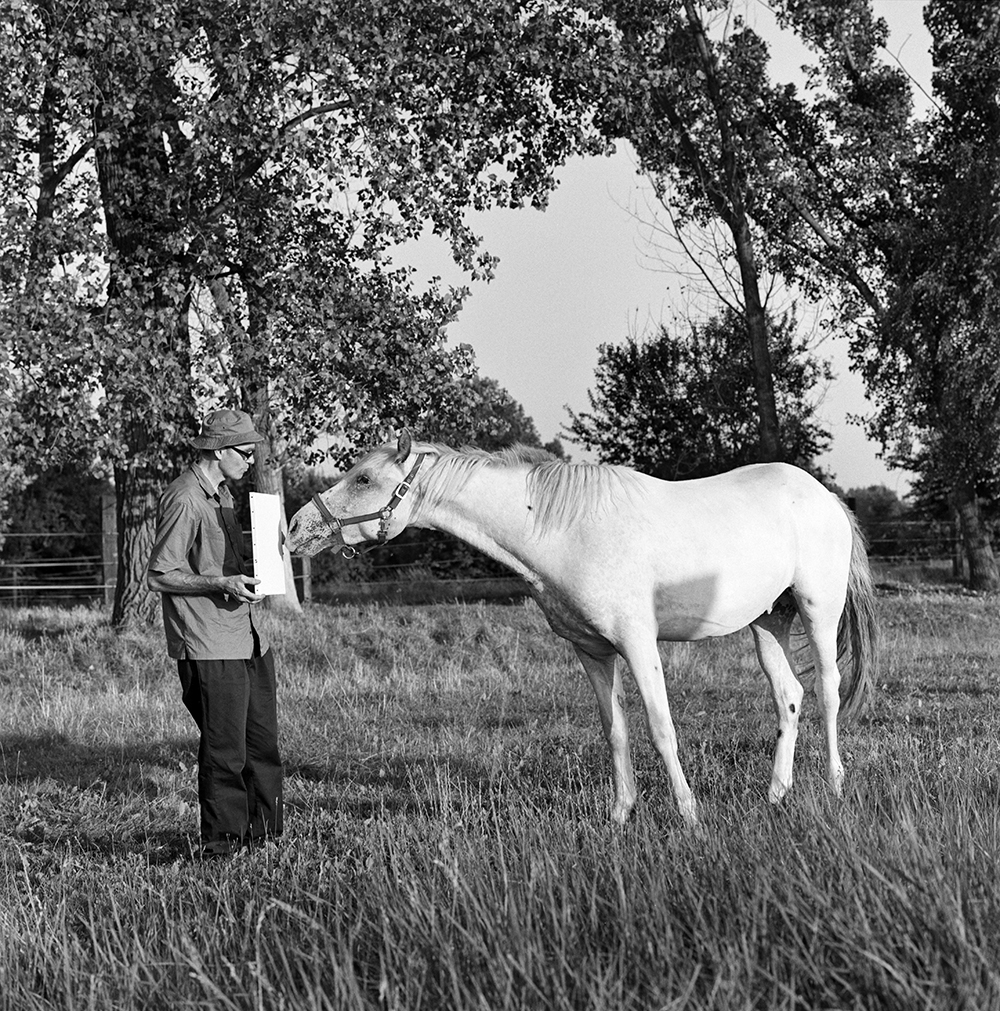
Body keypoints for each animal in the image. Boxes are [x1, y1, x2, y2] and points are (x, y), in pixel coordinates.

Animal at [287, 430, 873, 824]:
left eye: (364, 479)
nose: (294, 529)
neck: (564, 529)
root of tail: (824, 496)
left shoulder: (638, 644)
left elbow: (661, 727)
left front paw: (688, 815)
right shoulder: (592, 651)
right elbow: (615, 731)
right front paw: (620, 815)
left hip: (818, 611)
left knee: (827, 690)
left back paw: (835, 785)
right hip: (768, 622)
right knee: (788, 697)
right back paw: (776, 793)